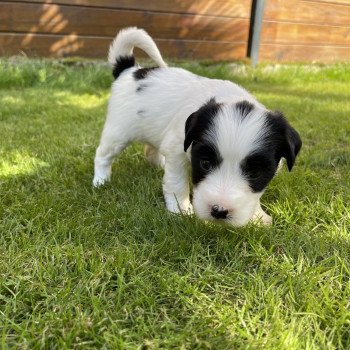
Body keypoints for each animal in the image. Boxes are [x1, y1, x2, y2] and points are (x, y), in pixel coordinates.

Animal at [93, 26, 300, 226]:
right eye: (205, 164)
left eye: (256, 173)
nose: (219, 211)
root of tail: (129, 70)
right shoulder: (177, 151)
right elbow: (177, 183)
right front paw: (181, 211)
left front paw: (258, 216)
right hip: (118, 132)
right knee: (102, 155)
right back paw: (101, 181)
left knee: (151, 150)